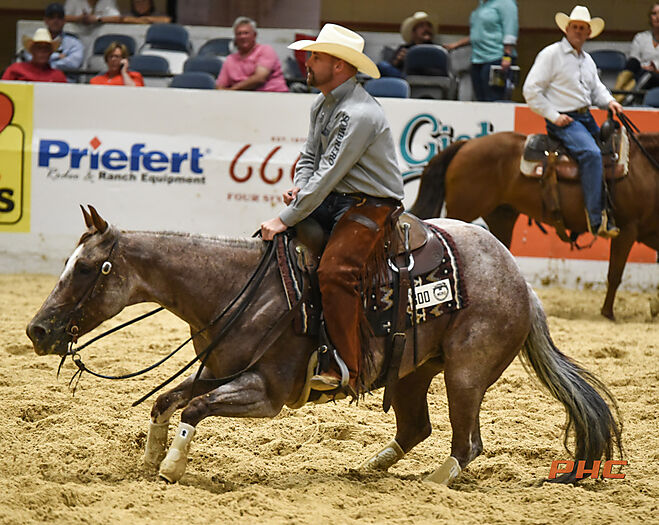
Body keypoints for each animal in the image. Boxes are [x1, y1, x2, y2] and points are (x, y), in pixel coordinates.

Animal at [26, 206, 622, 485]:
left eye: (86, 269)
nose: (37, 331)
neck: (239, 287)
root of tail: (520, 280)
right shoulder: (219, 371)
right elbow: (166, 400)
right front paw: (152, 457)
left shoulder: (267, 393)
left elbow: (193, 408)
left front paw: (172, 466)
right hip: (413, 371)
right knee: (416, 427)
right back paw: (369, 467)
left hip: (465, 373)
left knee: (466, 441)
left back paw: (436, 481)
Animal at [409, 131, 659, 320]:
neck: (643, 167)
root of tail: (466, 144)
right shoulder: (627, 230)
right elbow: (615, 274)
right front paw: (608, 313)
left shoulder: (649, 232)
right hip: (463, 212)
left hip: (501, 216)